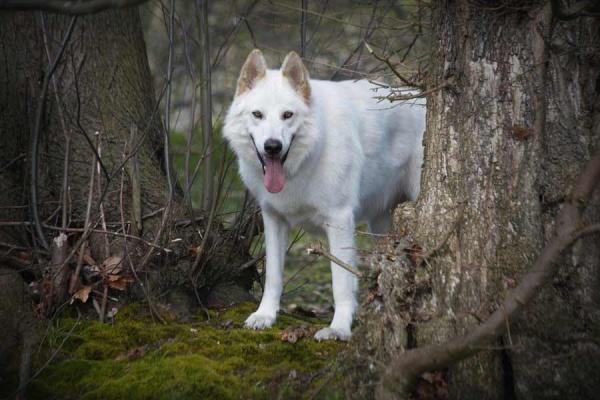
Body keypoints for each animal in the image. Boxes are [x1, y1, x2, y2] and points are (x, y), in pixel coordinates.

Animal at [223, 48, 424, 340]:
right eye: (257, 114)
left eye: (287, 115)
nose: (272, 146)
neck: (306, 160)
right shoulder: (274, 221)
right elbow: (273, 276)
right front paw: (265, 316)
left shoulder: (339, 222)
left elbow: (341, 282)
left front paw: (339, 328)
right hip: (380, 224)